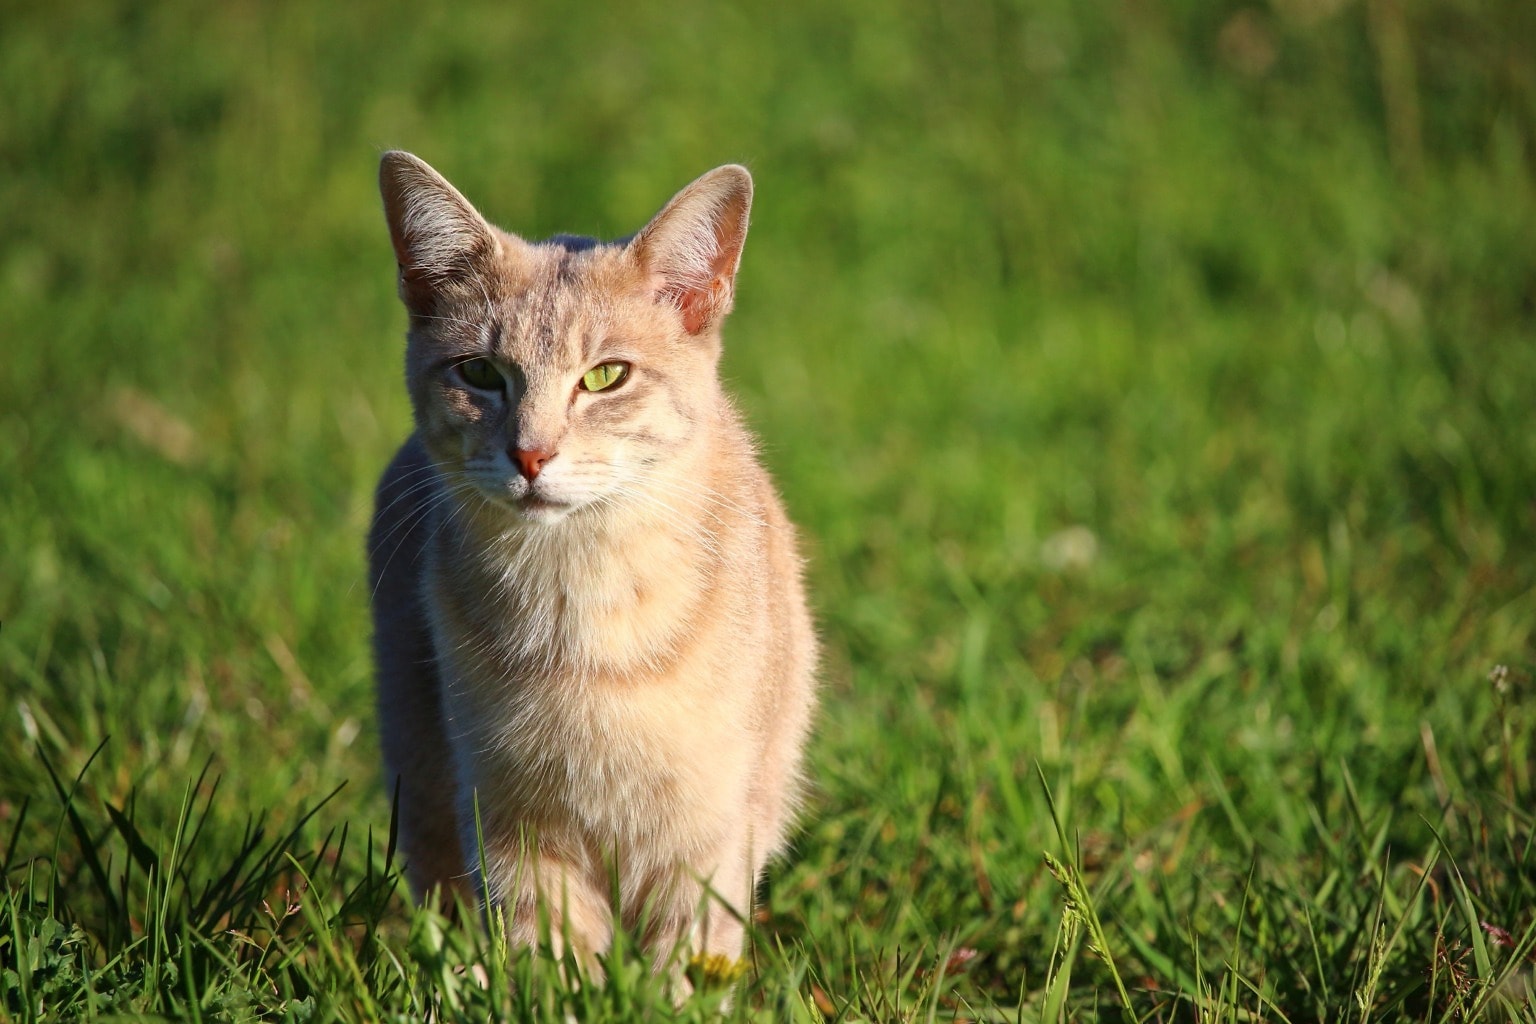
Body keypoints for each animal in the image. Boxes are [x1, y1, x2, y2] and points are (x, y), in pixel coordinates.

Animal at [368, 148, 817, 982]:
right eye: (482, 373)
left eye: (606, 376)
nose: (531, 455)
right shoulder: (509, 824)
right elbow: (550, 961)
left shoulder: (709, 835)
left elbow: (684, 968)